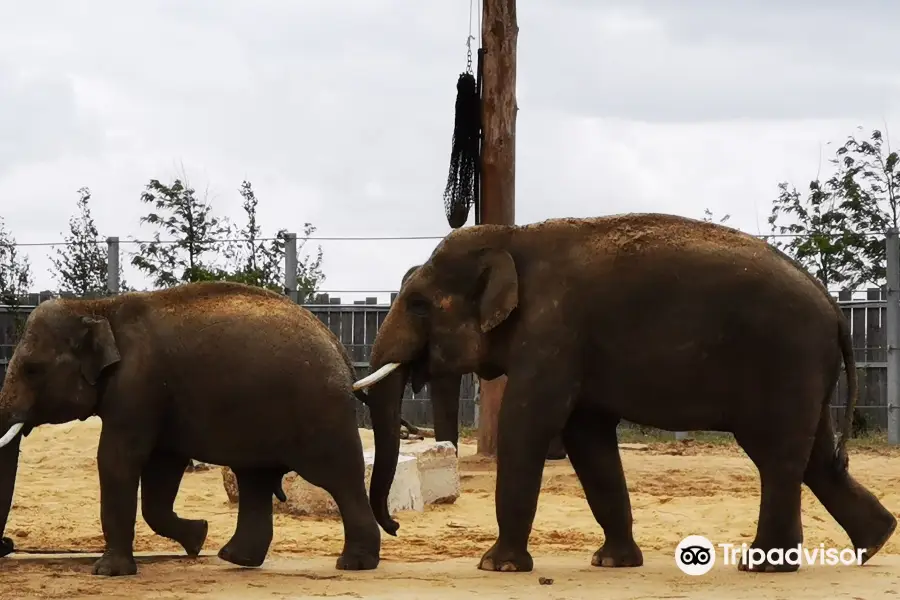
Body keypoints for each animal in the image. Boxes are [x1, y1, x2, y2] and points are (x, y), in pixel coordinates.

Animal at [356, 212, 896, 572]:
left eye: (420, 305)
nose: (396, 528)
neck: (512, 237)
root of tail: (834, 307)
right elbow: (588, 437)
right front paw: (612, 562)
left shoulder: (553, 332)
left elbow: (528, 425)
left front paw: (497, 567)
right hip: (807, 372)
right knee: (817, 457)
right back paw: (872, 544)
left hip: (785, 360)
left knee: (778, 456)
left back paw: (761, 565)